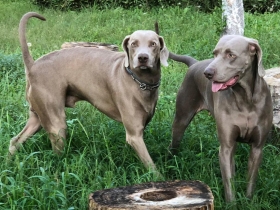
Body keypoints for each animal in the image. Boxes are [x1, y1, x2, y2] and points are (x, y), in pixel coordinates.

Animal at [9, 11, 168, 172]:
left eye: (153, 44)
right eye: (133, 44)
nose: (142, 58)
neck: (141, 82)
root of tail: (33, 66)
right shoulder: (134, 135)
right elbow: (152, 168)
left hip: (37, 117)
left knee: (15, 141)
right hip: (56, 124)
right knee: (56, 153)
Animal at [168, 34, 274, 202]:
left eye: (231, 55)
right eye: (215, 53)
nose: (207, 73)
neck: (245, 99)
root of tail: (195, 64)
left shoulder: (257, 148)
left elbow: (250, 182)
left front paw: (248, 201)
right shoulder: (225, 147)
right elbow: (228, 184)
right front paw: (232, 204)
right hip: (181, 119)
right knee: (173, 144)